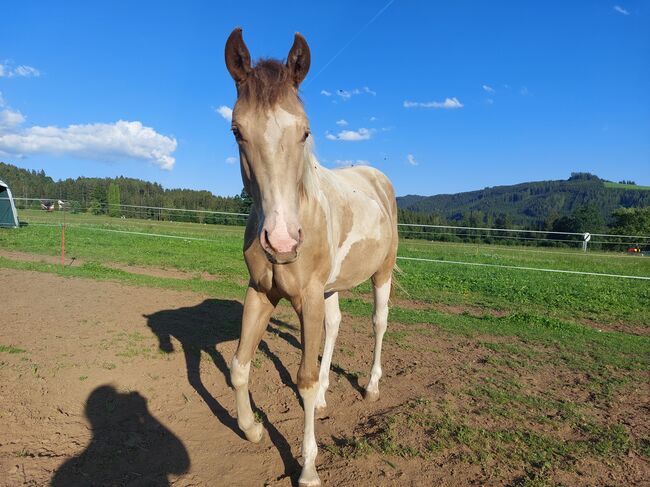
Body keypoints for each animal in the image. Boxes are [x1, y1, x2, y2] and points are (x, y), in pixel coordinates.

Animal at [225, 28, 398, 486]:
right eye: (237, 130)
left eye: (305, 132)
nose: (282, 241)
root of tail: (378, 179)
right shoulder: (260, 293)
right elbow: (239, 365)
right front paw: (252, 428)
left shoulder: (306, 297)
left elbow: (300, 379)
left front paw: (307, 468)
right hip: (329, 288)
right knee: (334, 326)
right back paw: (323, 395)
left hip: (382, 273)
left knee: (378, 323)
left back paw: (371, 387)